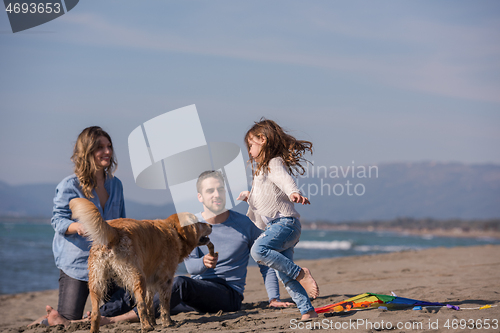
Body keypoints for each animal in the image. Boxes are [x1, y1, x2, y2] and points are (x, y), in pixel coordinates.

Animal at [69, 197, 212, 332]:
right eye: (198, 221)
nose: (211, 225)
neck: (174, 231)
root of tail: (114, 231)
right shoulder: (166, 279)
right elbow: (164, 304)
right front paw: (167, 322)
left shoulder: (150, 281)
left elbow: (150, 304)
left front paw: (154, 321)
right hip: (137, 278)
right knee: (140, 305)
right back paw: (146, 327)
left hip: (96, 282)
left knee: (95, 312)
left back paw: (94, 329)